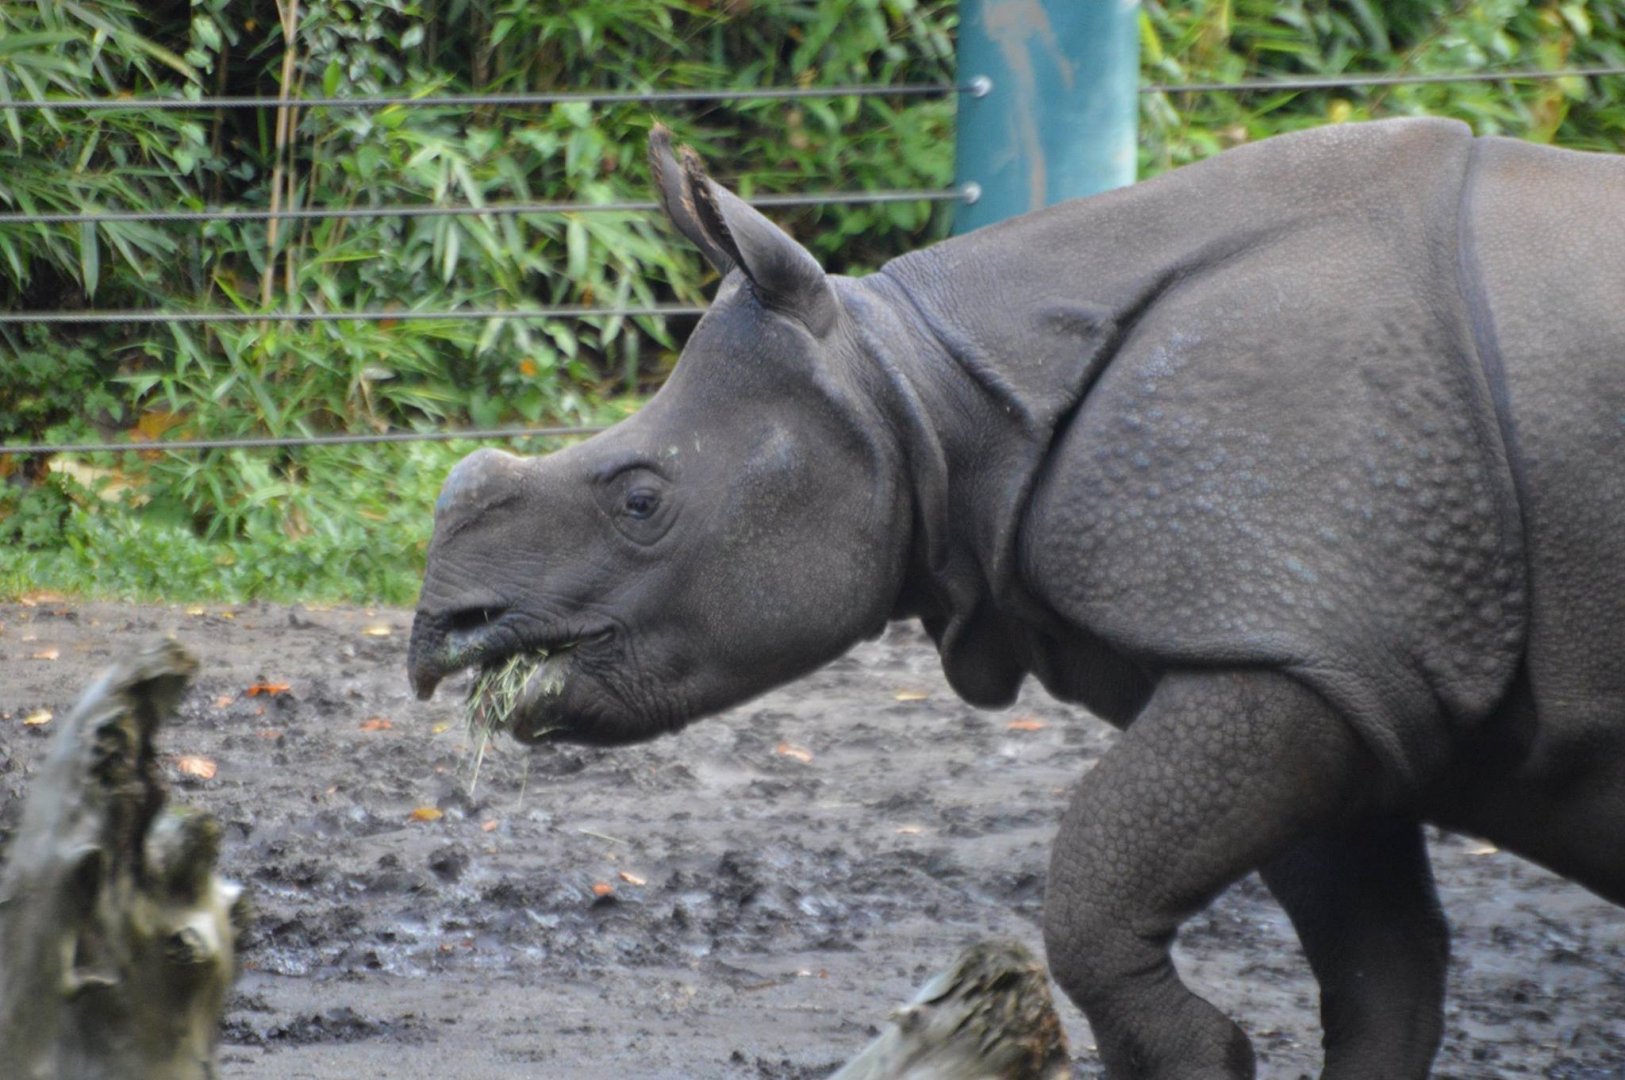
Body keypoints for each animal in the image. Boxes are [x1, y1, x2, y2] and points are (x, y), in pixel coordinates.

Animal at [407, 117, 1625, 1078]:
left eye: (641, 500)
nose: (438, 638)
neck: (922, 391)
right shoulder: (1322, 654)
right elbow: (1380, 978)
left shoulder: (1291, 640)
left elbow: (1091, 901)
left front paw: (1195, 1054)